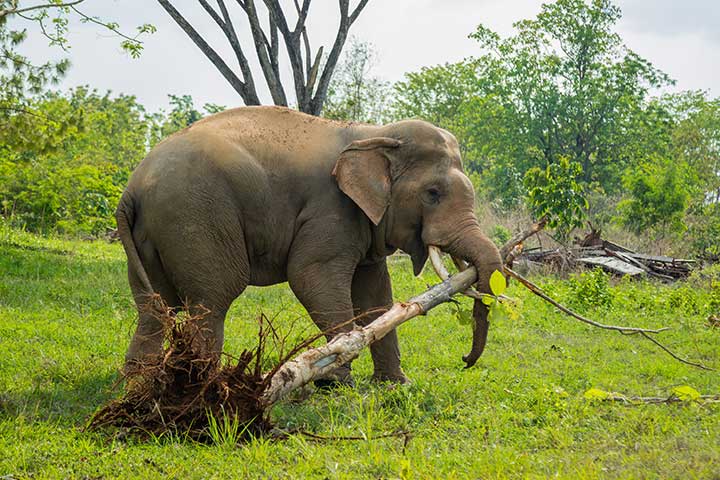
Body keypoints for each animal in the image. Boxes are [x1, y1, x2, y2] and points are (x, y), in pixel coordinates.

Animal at [116, 107, 500, 384]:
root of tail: (132, 188)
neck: (372, 132)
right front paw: (335, 381)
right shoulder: (330, 209)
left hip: (151, 235)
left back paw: (138, 384)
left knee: (154, 308)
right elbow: (311, 276)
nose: (465, 361)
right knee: (212, 298)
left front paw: (396, 385)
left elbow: (375, 293)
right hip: (197, 216)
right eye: (432, 193)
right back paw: (202, 390)